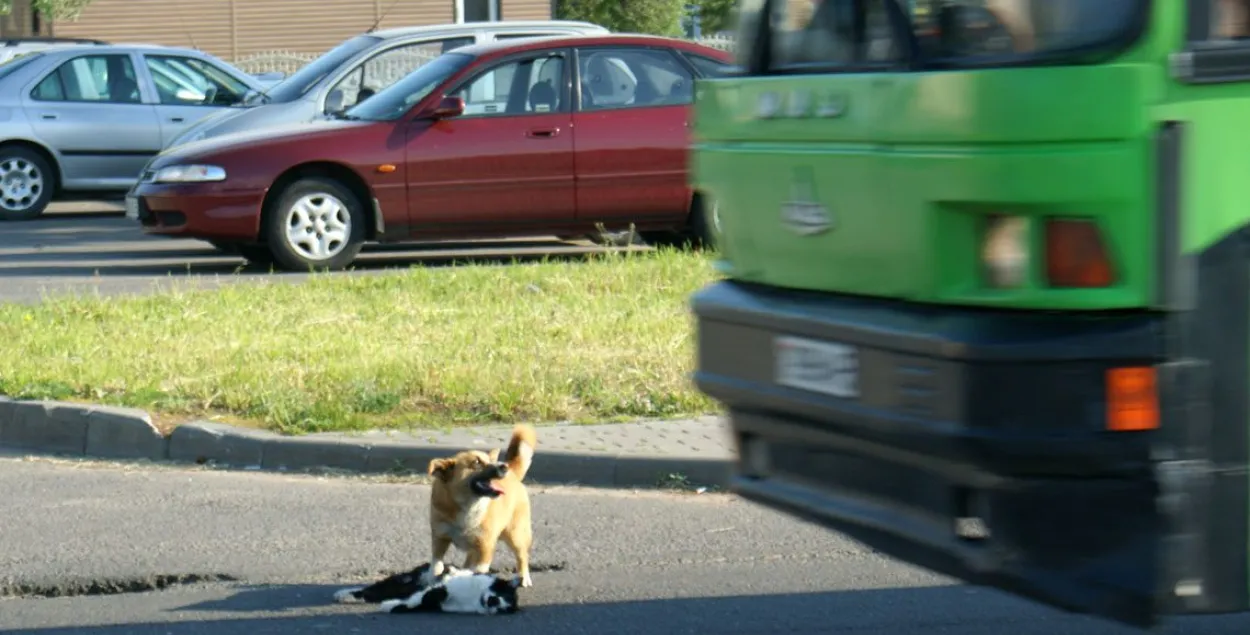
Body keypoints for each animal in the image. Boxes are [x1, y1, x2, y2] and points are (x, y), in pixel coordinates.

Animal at [375, 570, 522, 615]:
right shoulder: (447, 583)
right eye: (503, 593)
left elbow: (418, 602)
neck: (475, 597)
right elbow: (437, 592)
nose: (494, 601)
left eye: (503, 609)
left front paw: (390, 606)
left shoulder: (439, 605)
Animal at [427, 425, 535, 587]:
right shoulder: (440, 538)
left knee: (522, 556)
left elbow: (479, 569)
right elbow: (436, 563)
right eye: (477, 462)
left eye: (490, 460)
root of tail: (513, 474)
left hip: (516, 535)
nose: (504, 466)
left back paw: (524, 577)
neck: (468, 505)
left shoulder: (485, 546)